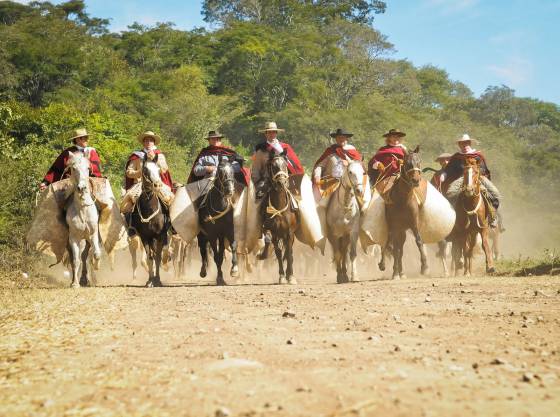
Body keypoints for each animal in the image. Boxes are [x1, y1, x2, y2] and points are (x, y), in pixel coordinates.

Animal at [66, 151, 103, 288]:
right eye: (73, 168)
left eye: (88, 168)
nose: (81, 188)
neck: (82, 210)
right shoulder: (73, 238)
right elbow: (76, 260)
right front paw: (75, 284)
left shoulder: (93, 234)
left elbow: (96, 254)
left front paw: (97, 266)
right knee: (77, 258)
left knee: (87, 255)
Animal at [260, 151, 300, 284]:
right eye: (273, 166)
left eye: (285, 165)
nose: (281, 183)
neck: (279, 208)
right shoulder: (274, 232)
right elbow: (278, 252)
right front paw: (282, 276)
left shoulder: (289, 233)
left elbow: (288, 253)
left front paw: (290, 276)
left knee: (289, 252)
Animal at [380, 146, 428, 280]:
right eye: (407, 163)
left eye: (419, 162)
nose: (416, 180)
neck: (403, 200)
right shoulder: (394, 227)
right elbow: (394, 249)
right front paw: (393, 271)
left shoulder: (414, 224)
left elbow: (419, 241)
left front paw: (424, 266)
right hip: (395, 230)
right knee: (391, 246)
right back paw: (388, 267)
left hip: (402, 232)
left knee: (399, 249)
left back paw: (401, 272)